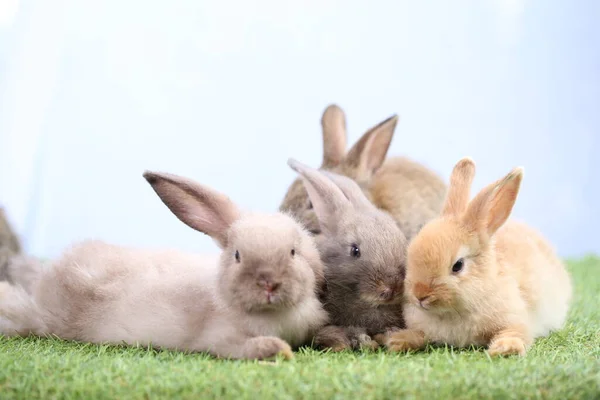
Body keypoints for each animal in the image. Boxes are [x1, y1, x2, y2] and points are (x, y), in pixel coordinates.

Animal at [0, 170, 328, 360]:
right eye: (237, 255)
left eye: (293, 252)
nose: (268, 283)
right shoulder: (221, 338)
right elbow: (242, 348)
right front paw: (279, 351)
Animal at [380, 157, 572, 356]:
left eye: (458, 265)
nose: (420, 295)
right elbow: (419, 335)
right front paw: (397, 341)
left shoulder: (515, 319)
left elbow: (515, 332)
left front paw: (504, 349)